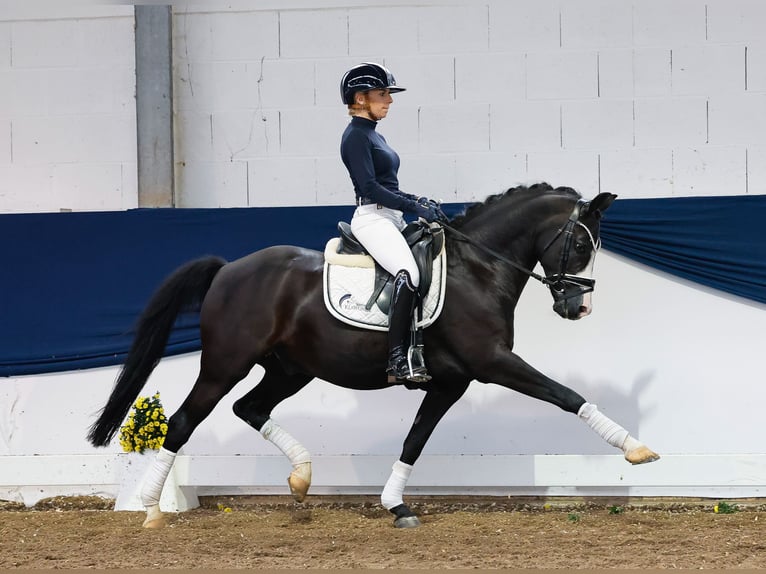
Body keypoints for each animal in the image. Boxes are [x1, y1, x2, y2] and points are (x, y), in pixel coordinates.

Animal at [85, 184, 660, 532]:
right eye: (581, 246)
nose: (578, 308)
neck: (478, 267)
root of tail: (228, 268)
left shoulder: (451, 382)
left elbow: (415, 440)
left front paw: (396, 506)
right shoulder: (492, 363)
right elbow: (566, 395)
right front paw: (635, 449)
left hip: (291, 369)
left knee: (250, 408)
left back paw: (301, 478)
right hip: (225, 363)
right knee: (184, 420)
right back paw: (151, 510)